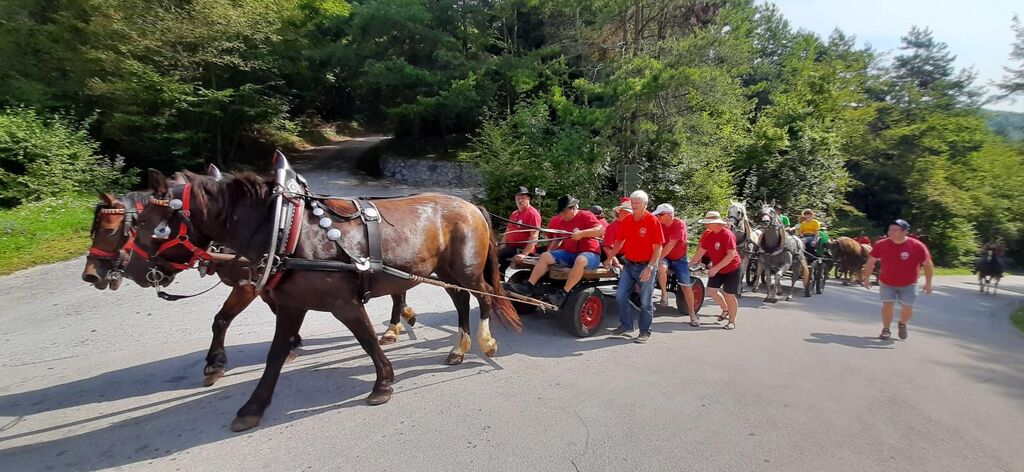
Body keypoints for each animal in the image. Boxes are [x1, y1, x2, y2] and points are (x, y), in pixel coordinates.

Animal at [81, 169, 417, 388]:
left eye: (110, 230)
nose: (90, 275)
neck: (276, 226)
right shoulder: (267, 281)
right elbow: (273, 311)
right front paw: (292, 343)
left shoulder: (246, 285)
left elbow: (221, 319)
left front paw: (215, 364)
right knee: (399, 290)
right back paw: (400, 321)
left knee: (399, 291)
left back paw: (395, 326)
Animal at [123, 168, 520, 432]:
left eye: (152, 225)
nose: (134, 270)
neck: (288, 229)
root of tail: (472, 206)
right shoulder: (291, 304)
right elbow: (275, 354)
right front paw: (253, 406)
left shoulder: (344, 303)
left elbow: (366, 340)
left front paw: (383, 384)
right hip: (442, 271)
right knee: (460, 301)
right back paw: (459, 348)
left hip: (465, 270)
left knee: (482, 300)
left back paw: (484, 342)